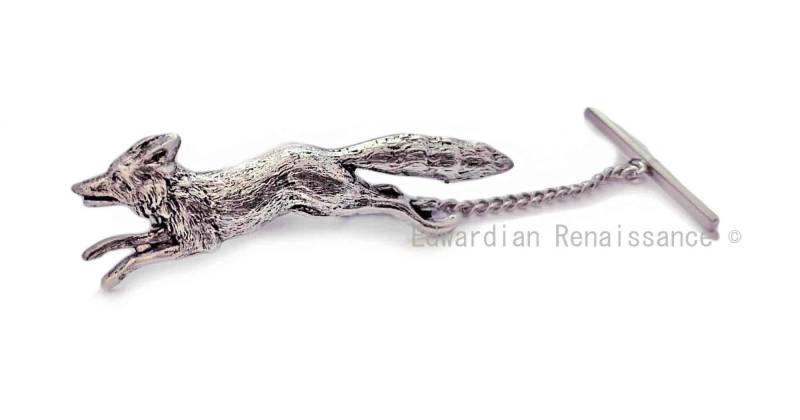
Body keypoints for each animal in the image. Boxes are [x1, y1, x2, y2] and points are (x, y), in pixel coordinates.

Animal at [72, 133, 513, 289]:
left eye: (112, 178)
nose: (76, 188)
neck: (172, 195)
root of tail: (330, 153)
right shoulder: (169, 233)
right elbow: (128, 240)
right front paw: (94, 252)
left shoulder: (199, 243)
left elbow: (137, 256)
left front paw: (111, 276)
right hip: (328, 204)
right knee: (390, 188)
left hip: (339, 201)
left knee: (392, 196)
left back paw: (428, 218)